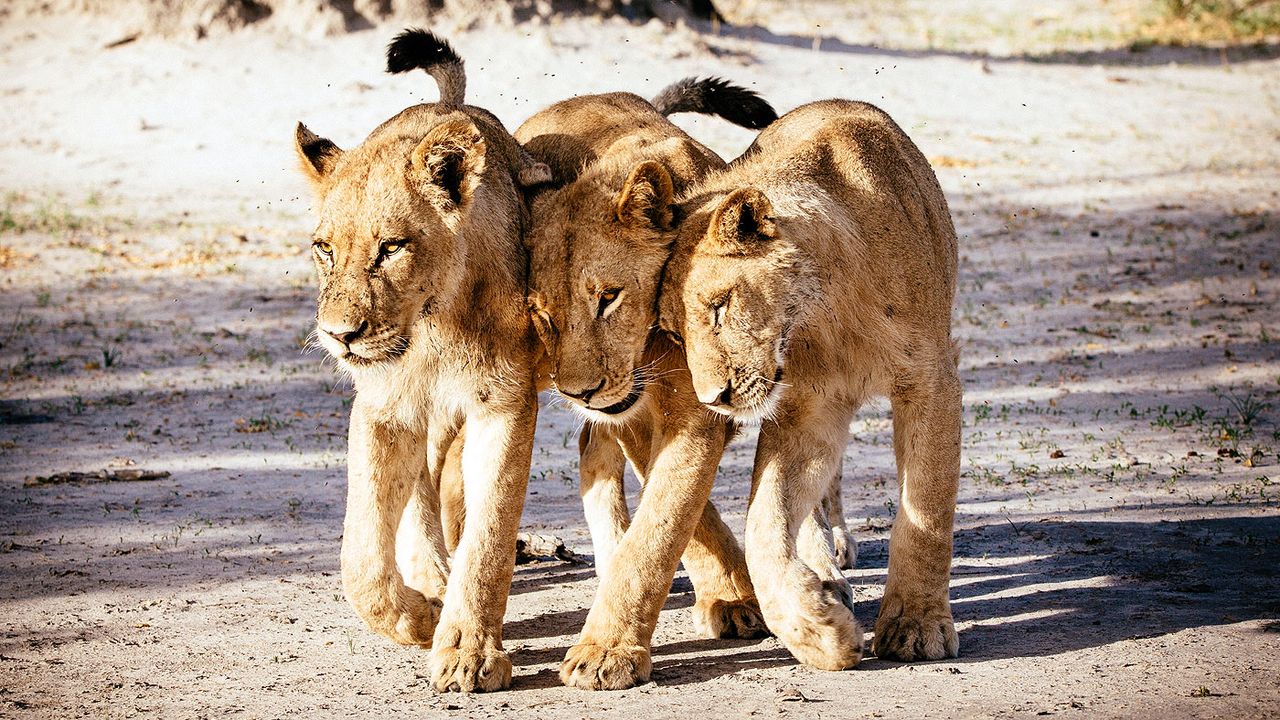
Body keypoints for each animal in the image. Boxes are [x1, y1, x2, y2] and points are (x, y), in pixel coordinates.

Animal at [292, 29, 553, 692]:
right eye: (324, 250)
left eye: (392, 248)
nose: (340, 336)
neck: (433, 327)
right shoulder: (381, 409)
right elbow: (360, 556)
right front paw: (417, 618)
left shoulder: (503, 406)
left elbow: (489, 533)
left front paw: (467, 651)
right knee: (419, 489)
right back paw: (429, 573)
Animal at [513, 79, 782, 691]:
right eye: (543, 315)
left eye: (609, 298)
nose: (580, 392)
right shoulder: (635, 417)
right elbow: (678, 519)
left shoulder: (696, 411)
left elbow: (665, 521)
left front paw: (606, 651)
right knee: (592, 447)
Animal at [659, 99, 962, 670]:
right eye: (672, 331)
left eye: (719, 306)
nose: (714, 399)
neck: (827, 309)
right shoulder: (809, 407)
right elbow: (763, 518)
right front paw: (817, 630)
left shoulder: (932, 379)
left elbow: (926, 510)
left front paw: (917, 625)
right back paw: (824, 575)